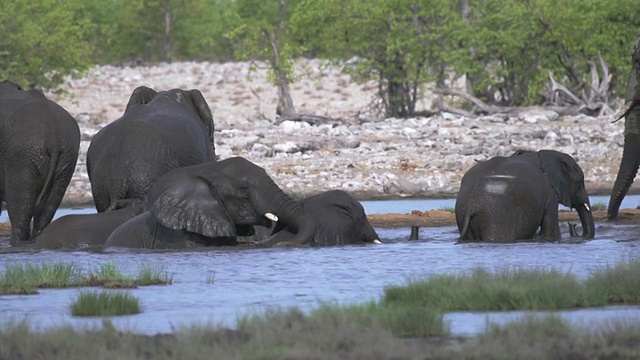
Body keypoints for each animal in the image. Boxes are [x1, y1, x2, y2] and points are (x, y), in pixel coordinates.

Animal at [456, 149, 596, 242]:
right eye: (580, 182)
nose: (573, 225)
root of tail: (471, 202)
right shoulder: (550, 194)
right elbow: (550, 232)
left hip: (463, 211)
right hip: (495, 214)